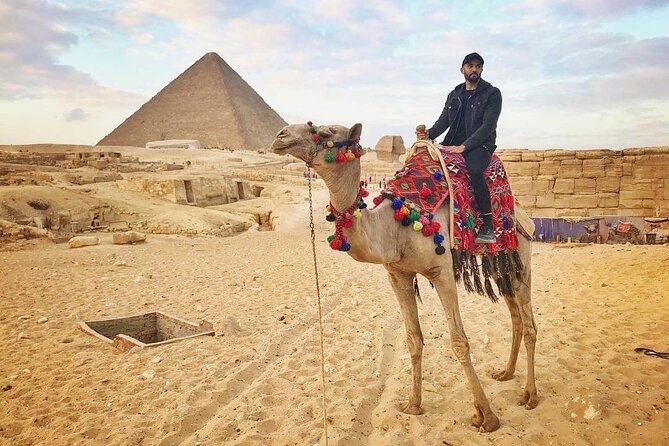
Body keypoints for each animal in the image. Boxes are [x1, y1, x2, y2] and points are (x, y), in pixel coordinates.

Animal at [271, 123, 538, 432]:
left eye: (325, 132)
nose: (280, 136)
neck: (396, 226)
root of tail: (521, 210)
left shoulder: (441, 272)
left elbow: (459, 342)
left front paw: (487, 416)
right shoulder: (397, 274)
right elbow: (413, 340)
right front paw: (413, 405)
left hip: (521, 255)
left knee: (529, 324)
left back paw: (530, 395)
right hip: (500, 263)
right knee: (516, 318)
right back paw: (506, 373)